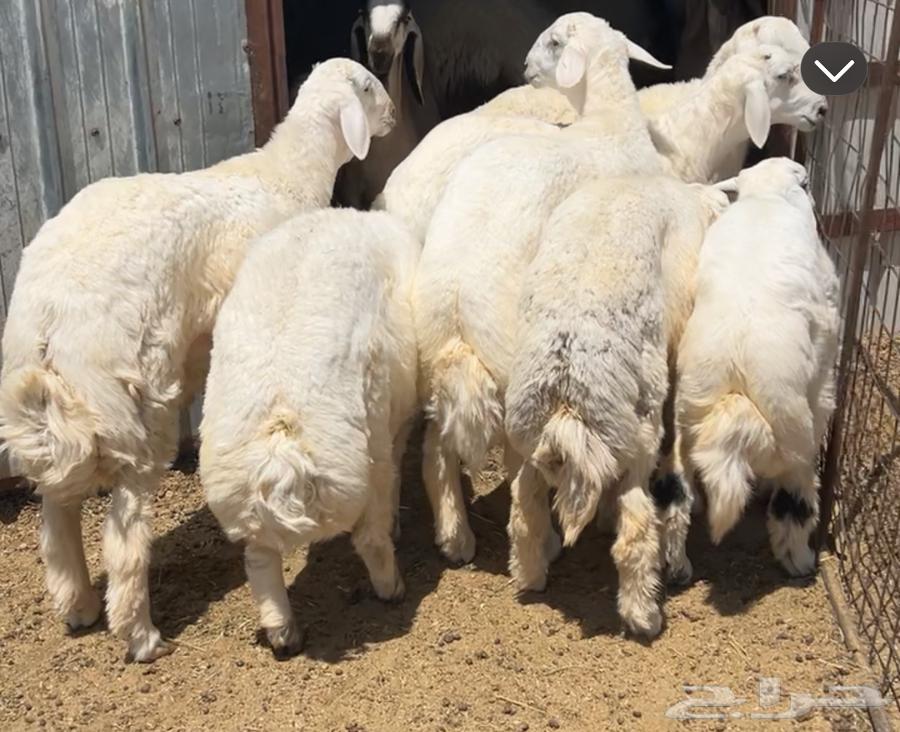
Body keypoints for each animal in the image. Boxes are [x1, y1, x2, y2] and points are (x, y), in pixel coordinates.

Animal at [0, 58, 394, 663]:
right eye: (370, 88)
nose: (394, 115)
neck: (284, 173)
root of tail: (50, 315)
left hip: (57, 405)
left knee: (56, 514)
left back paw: (78, 605)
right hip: (133, 406)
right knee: (124, 537)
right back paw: (140, 635)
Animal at [199, 208, 418, 658]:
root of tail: (281, 451)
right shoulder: (397, 427)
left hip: (242, 502)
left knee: (260, 560)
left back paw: (283, 633)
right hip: (368, 459)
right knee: (370, 537)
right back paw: (391, 587)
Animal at [415, 12, 670, 563]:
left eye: (553, 43)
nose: (527, 68)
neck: (608, 124)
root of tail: (456, 307)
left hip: (433, 360)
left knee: (434, 449)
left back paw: (455, 536)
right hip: (514, 362)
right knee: (522, 469)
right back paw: (544, 543)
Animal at [505, 176, 728, 637]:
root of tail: (567, 398)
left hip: (530, 440)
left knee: (524, 507)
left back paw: (530, 575)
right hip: (638, 436)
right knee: (636, 529)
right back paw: (644, 614)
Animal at [675, 157, 839, 578]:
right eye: (807, 183)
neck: (766, 197)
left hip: (688, 418)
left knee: (676, 497)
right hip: (798, 434)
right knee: (793, 503)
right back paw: (800, 562)